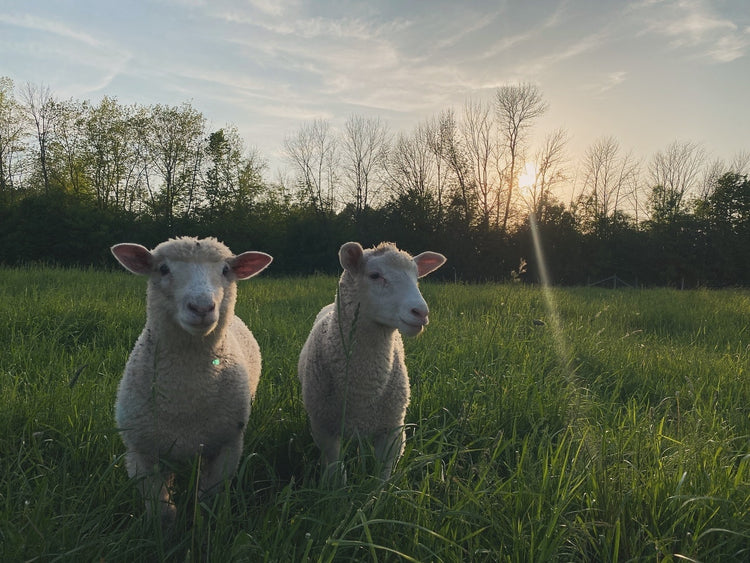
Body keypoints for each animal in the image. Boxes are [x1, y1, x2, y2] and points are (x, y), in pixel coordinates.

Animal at [110, 236, 272, 524]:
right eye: (163, 269)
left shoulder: (226, 448)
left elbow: (207, 503)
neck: (186, 398)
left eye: (225, 270)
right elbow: (163, 513)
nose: (202, 307)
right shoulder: (141, 452)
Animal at [298, 241, 446, 481]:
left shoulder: (392, 431)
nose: (421, 312)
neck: (363, 389)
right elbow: (336, 471)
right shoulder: (325, 429)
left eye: (417, 277)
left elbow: (381, 477)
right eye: (375, 275)